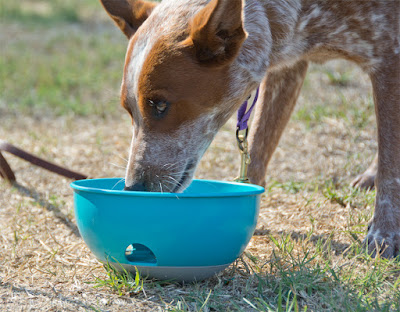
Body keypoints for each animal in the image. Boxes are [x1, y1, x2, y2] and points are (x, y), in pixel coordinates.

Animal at [98, 0, 398, 258]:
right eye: (129, 110)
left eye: (160, 105)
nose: (133, 187)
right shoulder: (288, 64)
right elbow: (258, 145)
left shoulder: (389, 59)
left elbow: (390, 165)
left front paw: (385, 234)